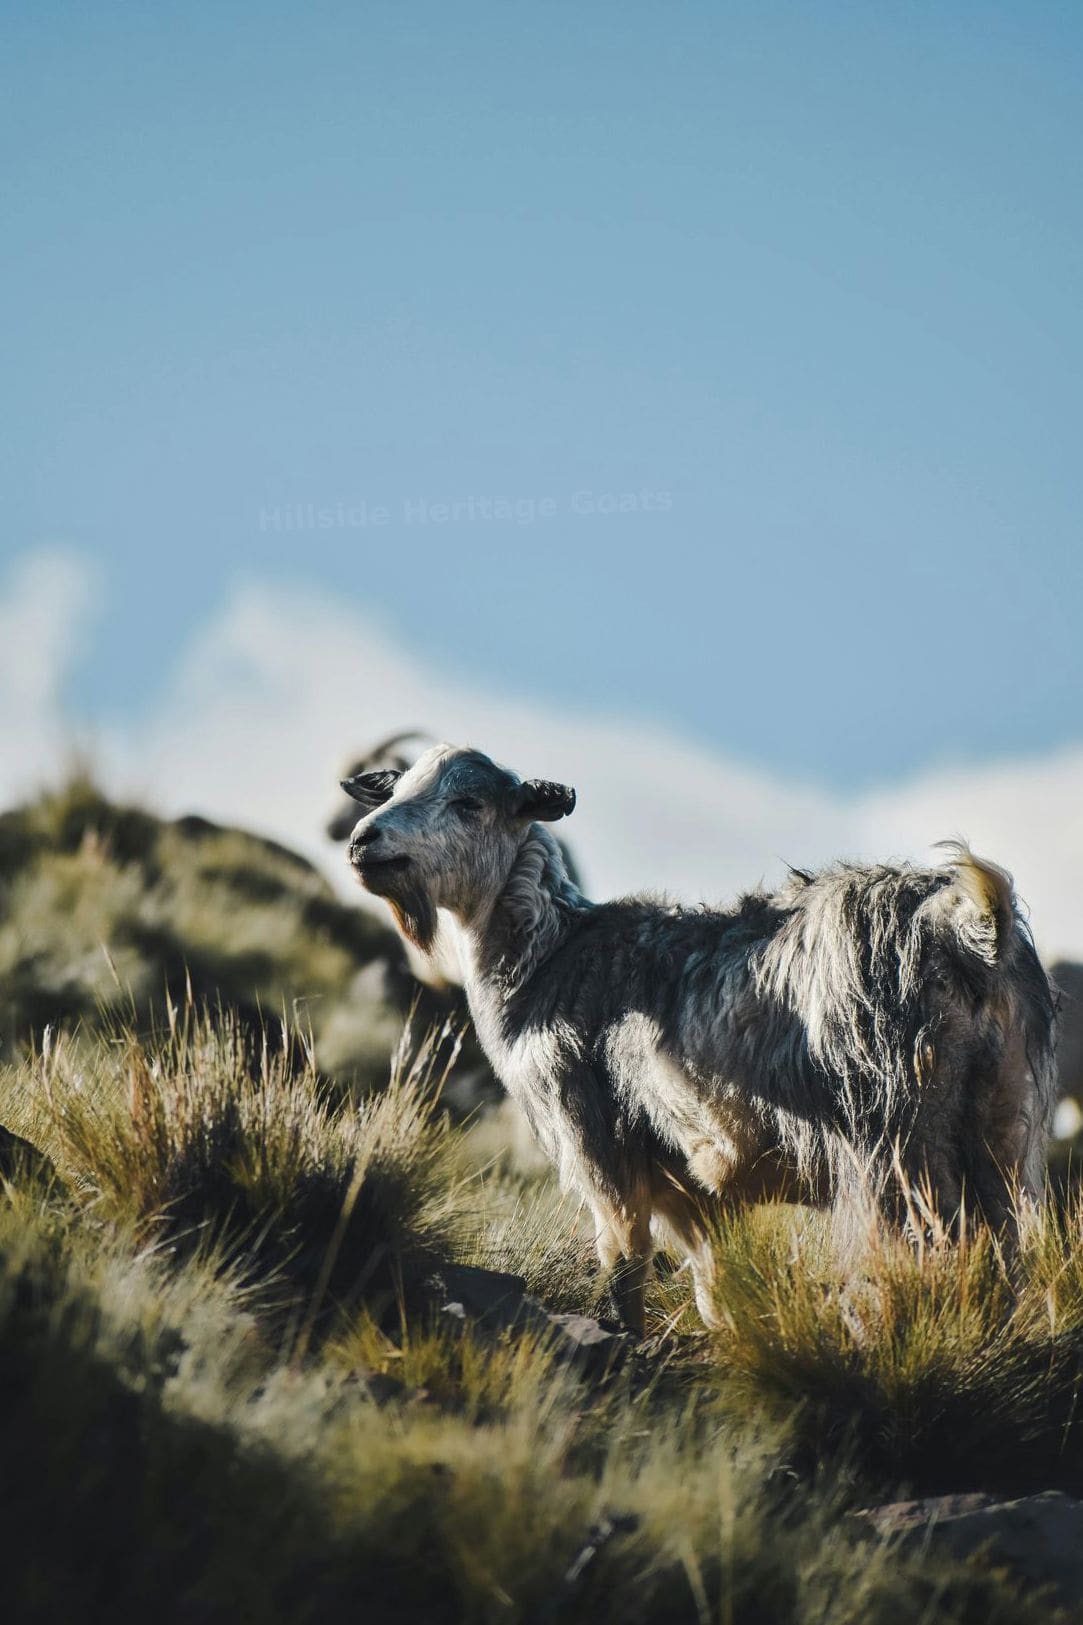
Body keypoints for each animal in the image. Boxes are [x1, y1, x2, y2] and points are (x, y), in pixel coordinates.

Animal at [342, 744, 1057, 1333]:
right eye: (395, 787)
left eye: (470, 802)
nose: (363, 841)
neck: (546, 958)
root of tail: (969, 927)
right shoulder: (697, 1195)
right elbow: (716, 1295)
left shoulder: (598, 1143)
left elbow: (624, 1265)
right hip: (998, 1128)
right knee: (1001, 1258)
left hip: (894, 1140)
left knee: (923, 1254)